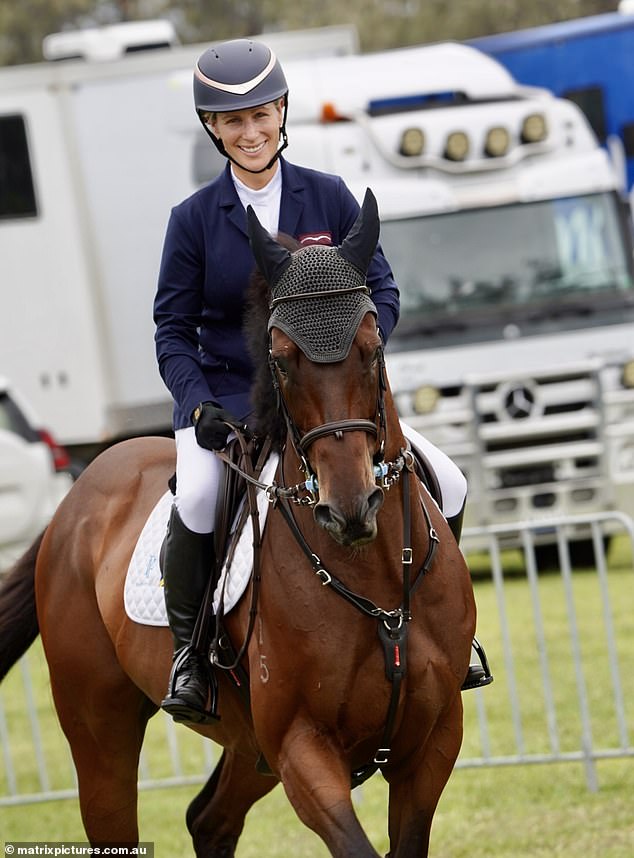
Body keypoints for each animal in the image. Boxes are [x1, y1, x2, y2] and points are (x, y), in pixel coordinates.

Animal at [0, 191, 474, 852]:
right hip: (101, 731)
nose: (349, 508)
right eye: (281, 360)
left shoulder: (432, 744)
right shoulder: (302, 746)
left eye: (372, 346)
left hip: (249, 748)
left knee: (209, 819)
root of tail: (77, 495)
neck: (374, 576)